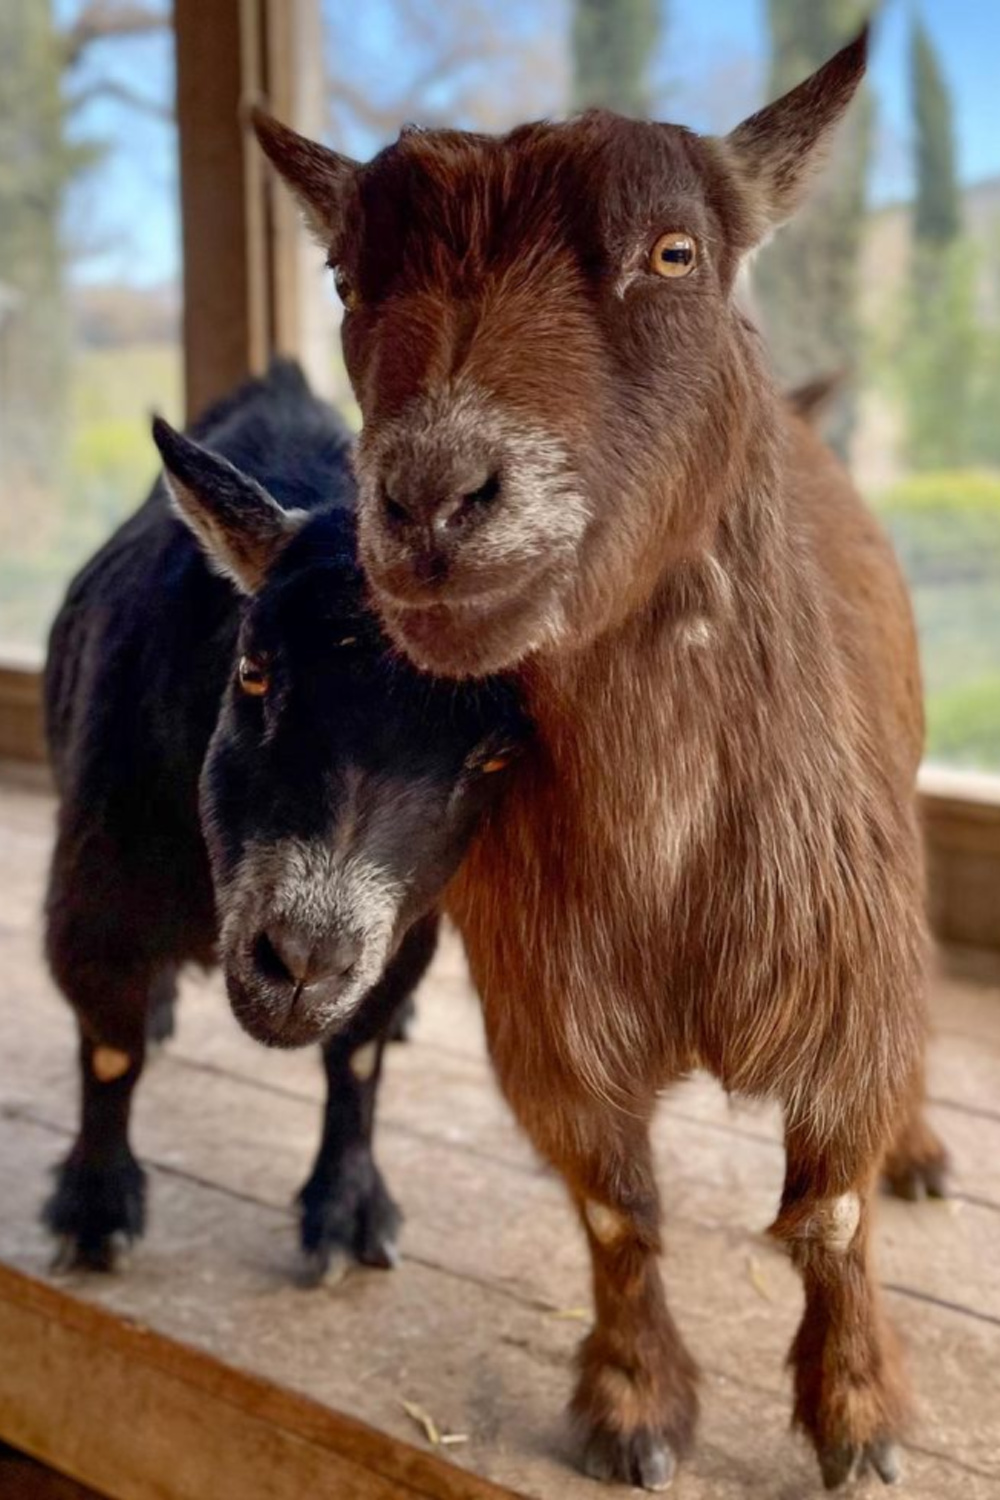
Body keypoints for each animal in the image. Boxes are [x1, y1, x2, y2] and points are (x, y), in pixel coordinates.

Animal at [41, 360, 524, 1278]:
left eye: (494, 757)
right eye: (254, 669)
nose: (303, 960)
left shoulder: (405, 932)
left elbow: (358, 1051)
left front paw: (347, 1212)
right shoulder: (96, 892)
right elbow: (110, 1041)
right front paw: (95, 1210)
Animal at [254, 29, 953, 1494]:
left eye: (675, 252)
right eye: (346, 276)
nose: (433, 498)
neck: (670, 849)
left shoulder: (844, 967)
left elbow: (834, 1212)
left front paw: (858, 1415)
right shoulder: (544, 1019)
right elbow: (618, 1211)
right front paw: (634, 1408)